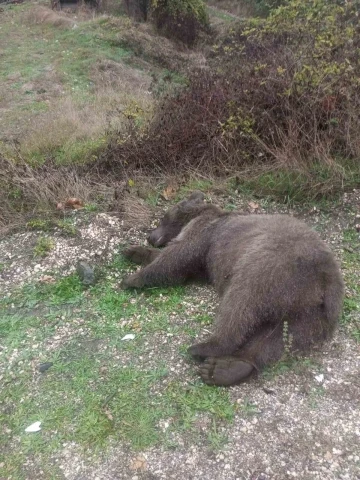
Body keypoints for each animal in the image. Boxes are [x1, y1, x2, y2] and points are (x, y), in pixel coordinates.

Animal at [122, 191, 344, 386]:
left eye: (163, 217)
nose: (150, 236)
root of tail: (325, 278)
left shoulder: (205, 232)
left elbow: (177, 256)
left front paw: (131, 279)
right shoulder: (206, 261)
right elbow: (183, 268)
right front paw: (134, 251)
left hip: (269, 269)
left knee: (239, 305)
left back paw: (205, 348)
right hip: (312, 312)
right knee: (280, 336)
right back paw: (228, 369)